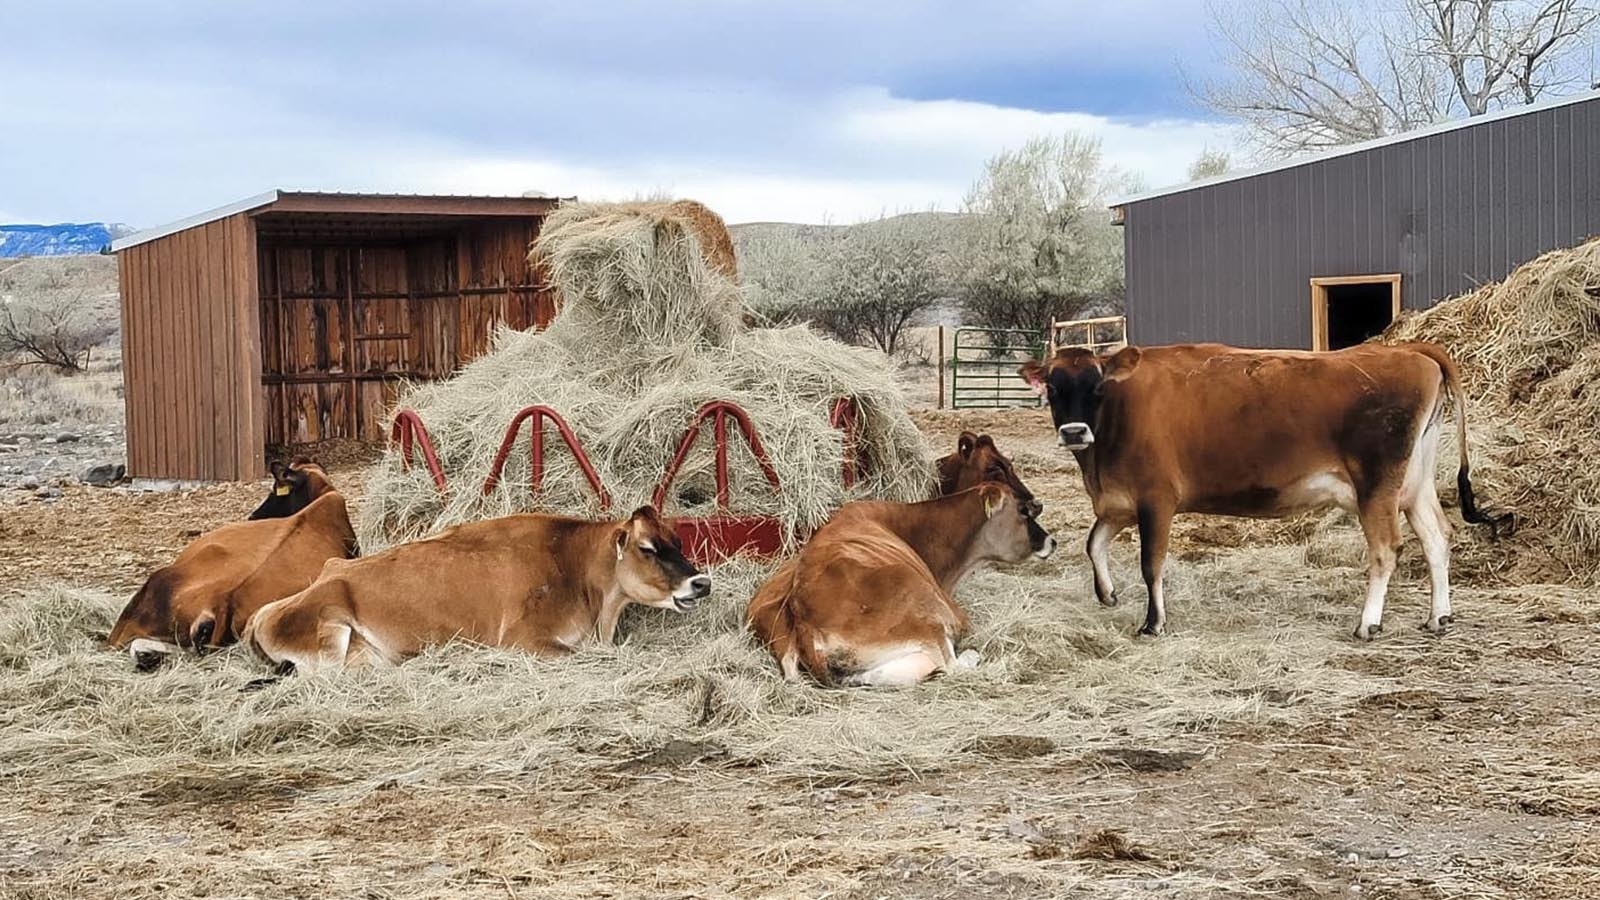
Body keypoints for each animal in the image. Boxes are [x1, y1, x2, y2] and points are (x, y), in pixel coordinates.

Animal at [1017, 341, 1504, 637]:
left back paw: (1368, 623)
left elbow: (1150, 565)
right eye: (1053, 388)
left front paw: (1153, 623)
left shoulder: (1157, 500)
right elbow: (1093, 544)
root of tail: (1406, 348)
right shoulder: (1118, 503)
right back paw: (1439, 615)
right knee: (1437, 537)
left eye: (1097, 386)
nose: (1075, 432)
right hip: (1414, 485)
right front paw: (1107, 594)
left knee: (1386, 548)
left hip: (1377, 488)